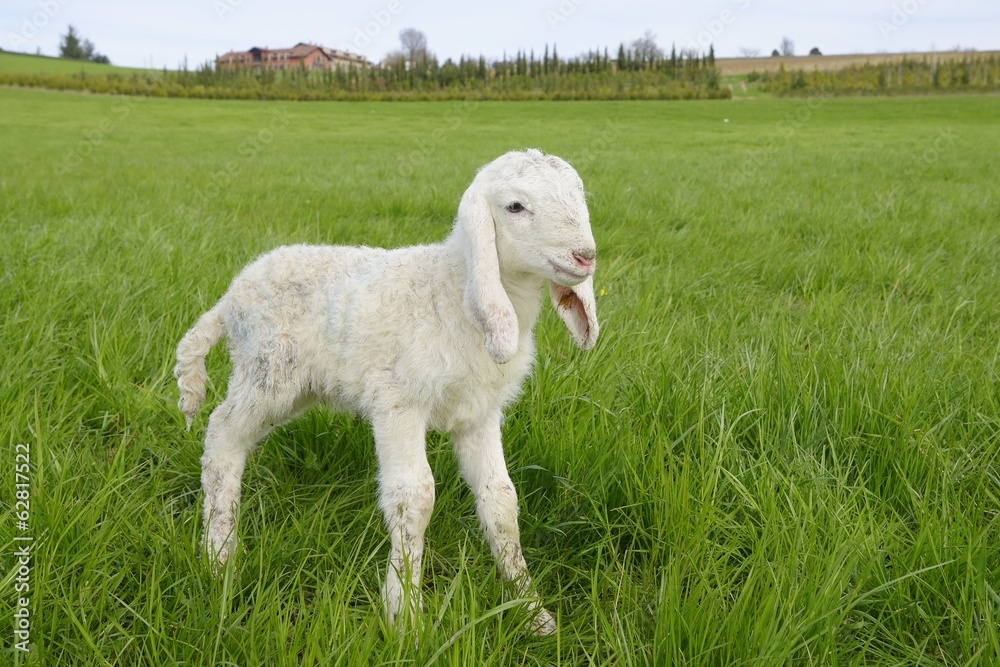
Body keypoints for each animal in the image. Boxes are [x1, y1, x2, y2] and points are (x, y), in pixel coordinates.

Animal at [174, 148, 599, 636]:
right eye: (515, 206)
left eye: (579, 196)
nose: (585, 256)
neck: (453, 291)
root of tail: (230, 297)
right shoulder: (398, 403)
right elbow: (414, 497)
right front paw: (405, 616)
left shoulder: (479, 413)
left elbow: (501, 500)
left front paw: (531, 611)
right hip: (267, 372)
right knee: (222, 433)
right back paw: (219, 555)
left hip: (294, 385)